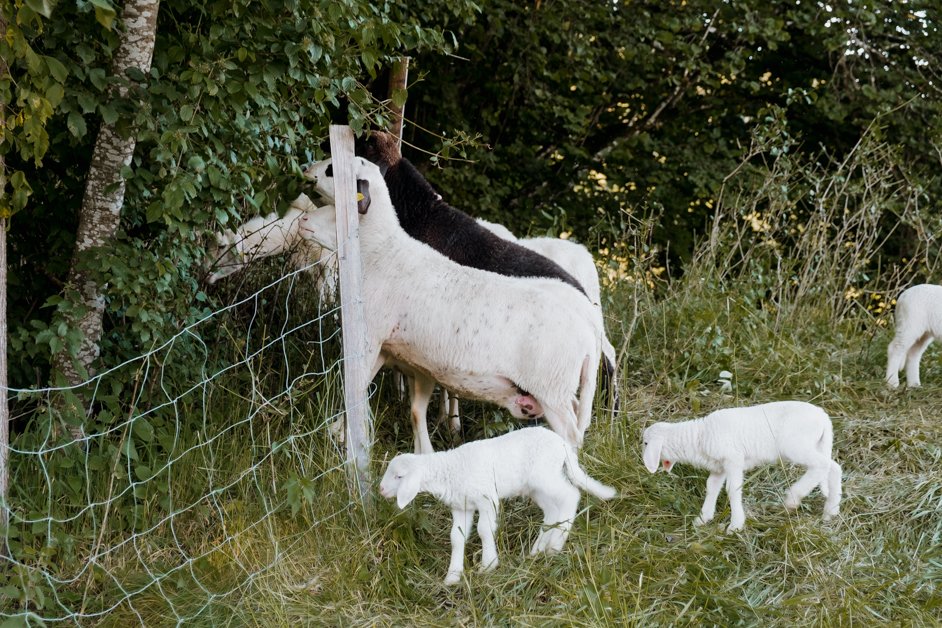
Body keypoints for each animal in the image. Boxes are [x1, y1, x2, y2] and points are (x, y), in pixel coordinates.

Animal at [298, 157, 604, 452]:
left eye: (338, 209)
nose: (304, 219)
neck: (380, 251)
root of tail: (589, 335)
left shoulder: (370, 335)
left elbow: (355, 385)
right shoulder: (386, 348)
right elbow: (365, 388)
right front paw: (339, 431)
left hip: (551, 390)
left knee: (571, 436)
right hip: (558, 391)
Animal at [380, 426, 616, 584]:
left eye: (399, 476)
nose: (381, 489)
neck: (451, 468)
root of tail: (562, 444)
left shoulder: (486, 498)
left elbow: (484, 530)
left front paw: (488, 565)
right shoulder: (462, 506)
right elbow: (456, 537)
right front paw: (453, 576)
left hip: (545, 476)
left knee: (570, 496)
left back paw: (555, 545)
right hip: (535, 487)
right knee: (552, 510)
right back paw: (538, 549)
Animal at [644, 400, 844, 532]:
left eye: (645, 443)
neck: (698, 436)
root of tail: (824, 418)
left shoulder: (733, 459)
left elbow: (732, 489)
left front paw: (735, 526)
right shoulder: (719, 467)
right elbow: (711, 488)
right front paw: (703, 518)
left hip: (795, 445)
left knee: (822, 465)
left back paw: (793, 498)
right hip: (816, 444)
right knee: (833, 467)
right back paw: (831, 511)